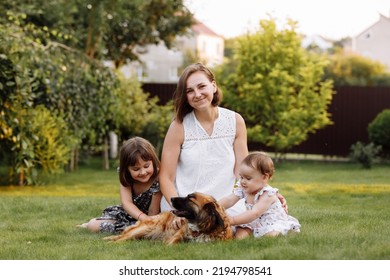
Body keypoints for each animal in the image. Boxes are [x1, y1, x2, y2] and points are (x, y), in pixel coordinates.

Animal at [102, 192, 233, 245]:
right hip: (147, 228)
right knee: (122, 238)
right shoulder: (177, 236)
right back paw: (109, 243)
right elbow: (173, 243)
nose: (171, 198)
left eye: (190, 198)